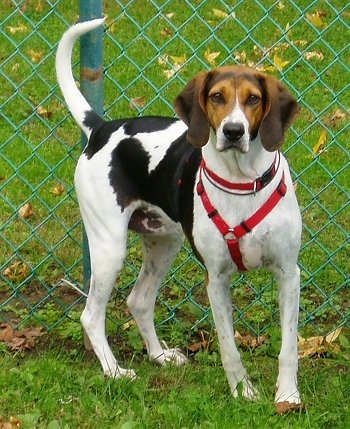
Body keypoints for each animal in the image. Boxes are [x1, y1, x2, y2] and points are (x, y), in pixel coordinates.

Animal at [56, 18, 302, 410]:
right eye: (217, 96)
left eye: (253, 98)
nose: (234, 132)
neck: (242, 183)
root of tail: (102, 128)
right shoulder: (217, 279)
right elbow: (229, 347)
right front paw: (242, 391)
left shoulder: (288, 273)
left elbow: (289, 347)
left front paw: (288, 395)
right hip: (110, 247)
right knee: (91, 315)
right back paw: (115, 371)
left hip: (164, 242)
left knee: (139, 300)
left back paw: (159, 355)